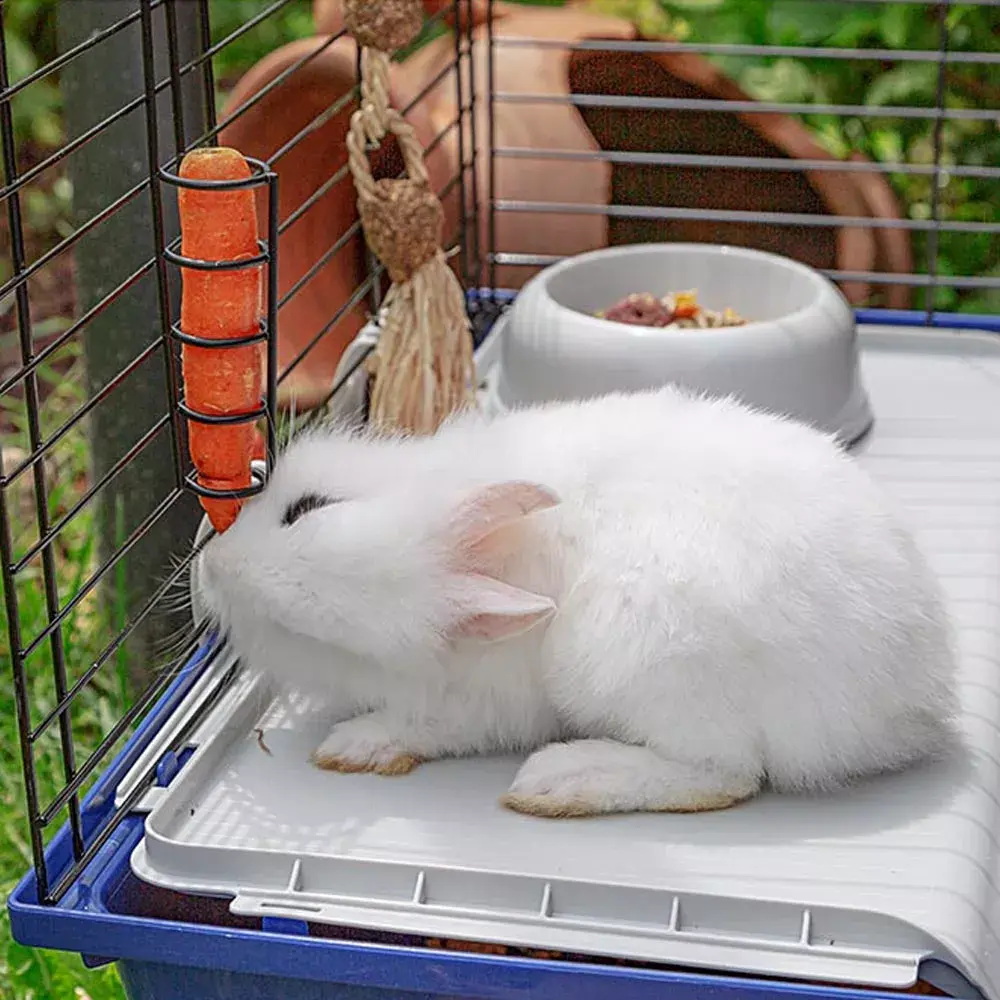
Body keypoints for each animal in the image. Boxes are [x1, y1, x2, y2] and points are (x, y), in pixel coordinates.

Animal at [195, 385, 958, 818]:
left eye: (308, 509)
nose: (208, 567)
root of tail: (912, 702)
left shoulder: (484, 703)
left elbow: (426, 725)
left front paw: (355, 745)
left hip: (641, 661)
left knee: (726, 774)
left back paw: (561, 782)